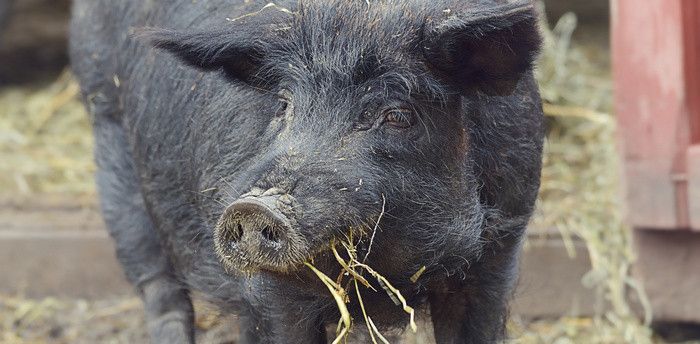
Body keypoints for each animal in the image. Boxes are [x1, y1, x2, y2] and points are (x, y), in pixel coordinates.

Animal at [68, 0, 544, 342]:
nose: (254, 207)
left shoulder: (498, 252)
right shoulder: (274, 292)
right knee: (160, 291)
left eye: (397, 115)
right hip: (109, 136)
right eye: (283, 104)